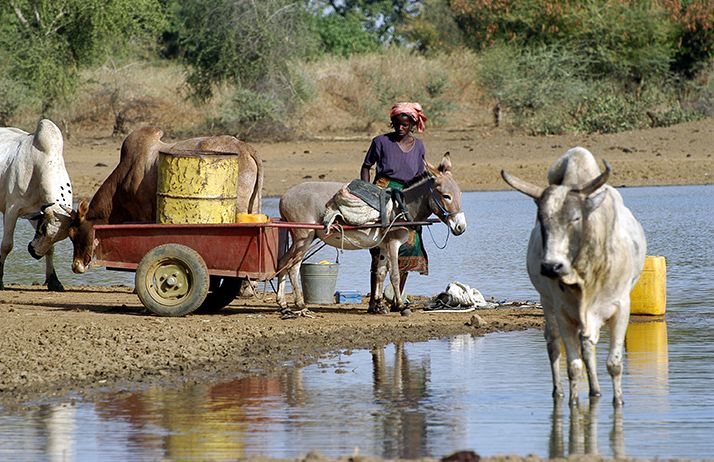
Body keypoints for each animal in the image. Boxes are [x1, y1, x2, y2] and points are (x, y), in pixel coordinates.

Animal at [0, 121, 73, 290]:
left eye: (59, 238)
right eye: (43, 228)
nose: (34, 253)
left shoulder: (35, 212)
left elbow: (51, 250)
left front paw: (54, 281)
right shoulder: (11, 210)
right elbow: (6, 245)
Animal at [68, 124, 262, 272]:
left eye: (73, 233)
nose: (76, 266)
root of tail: (246, 148)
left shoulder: (143, 216)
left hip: (238, 207)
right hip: (252, 205)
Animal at [500, 148, 644, 404]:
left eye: (575, 218)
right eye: (541, 219)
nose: (551, 267)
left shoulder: (621, 308)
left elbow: (614, 364)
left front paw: (617, 401)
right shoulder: (562, 312)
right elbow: (573, 366)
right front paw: (572, 402)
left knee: (587, 346)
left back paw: (595, 390)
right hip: (548, 303)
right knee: (554, 344)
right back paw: (559, 391)